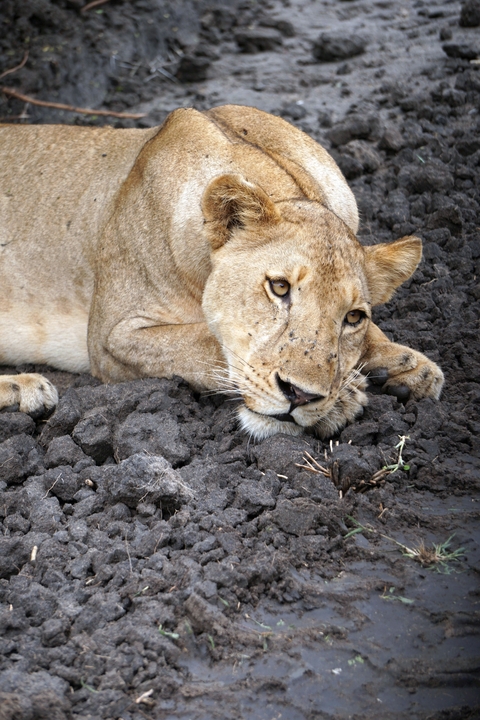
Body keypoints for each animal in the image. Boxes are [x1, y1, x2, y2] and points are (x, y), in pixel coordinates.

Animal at [0, 104, 443, 439]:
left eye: (353, 317)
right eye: (279, 287)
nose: (300, 395)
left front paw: (407, 365)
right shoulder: (111, 338)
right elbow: (203, 342)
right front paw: (347, 396)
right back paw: (26, 387)